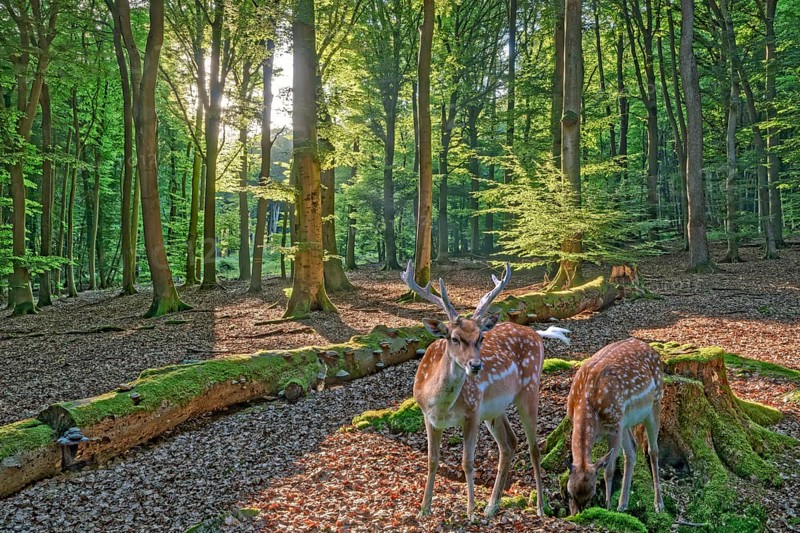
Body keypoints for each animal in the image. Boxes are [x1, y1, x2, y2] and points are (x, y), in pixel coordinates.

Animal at [402, 261, 571, 519]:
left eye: (481, 337)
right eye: (454, 338)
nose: (476, 365)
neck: (441, 406)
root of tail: (537, 333)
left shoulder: (472, 411)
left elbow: (467, 462)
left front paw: (470, 511)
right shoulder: (428, 417)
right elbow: (432, 460)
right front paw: (424, 509)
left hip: (529, 388)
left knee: (533, 448)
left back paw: (541, 507)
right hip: (494, 409)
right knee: (509, 443)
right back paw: (492, 505)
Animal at [566, 337, 665, 516]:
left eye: (592, 495)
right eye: (569, 493)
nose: (576, 514)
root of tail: (653, 350)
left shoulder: (614, 427)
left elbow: (608, 470)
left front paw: (607, 507)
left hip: (655, 402)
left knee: (652, 451)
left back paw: (658, 504)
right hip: (625, 420)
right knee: (632, 448)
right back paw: (623, 504)